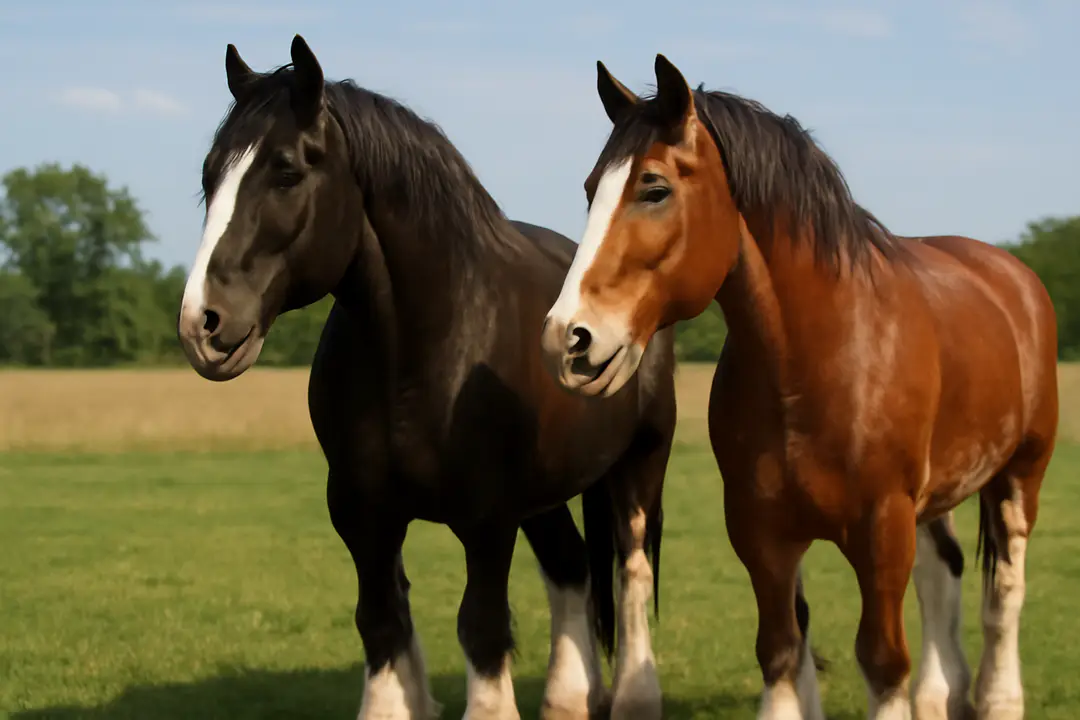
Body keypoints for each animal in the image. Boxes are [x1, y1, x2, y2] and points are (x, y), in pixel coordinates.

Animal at [175, 35, 678, 720]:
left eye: (286, 171)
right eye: (209, 175)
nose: (203, 322)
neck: (423, 353)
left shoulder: (486, 518)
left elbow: (482, 627)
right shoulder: (362, 512)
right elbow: (380, 620)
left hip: (640, 462)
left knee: (630, 570)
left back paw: (632, 697)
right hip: (545, 493)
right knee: (571, 567)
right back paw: (571, 698)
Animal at [539, 54, 1058, 720]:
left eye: (654, 189)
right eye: (590, 191)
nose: (568, 339)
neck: (817, 363)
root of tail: (1012, 275)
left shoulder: (882, 528)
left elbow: (883, 659)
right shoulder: (762, 532)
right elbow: (781, 649)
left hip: (1020, 475)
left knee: (1006, 592)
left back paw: (997, 697)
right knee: (944, 571)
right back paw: (942, 694)